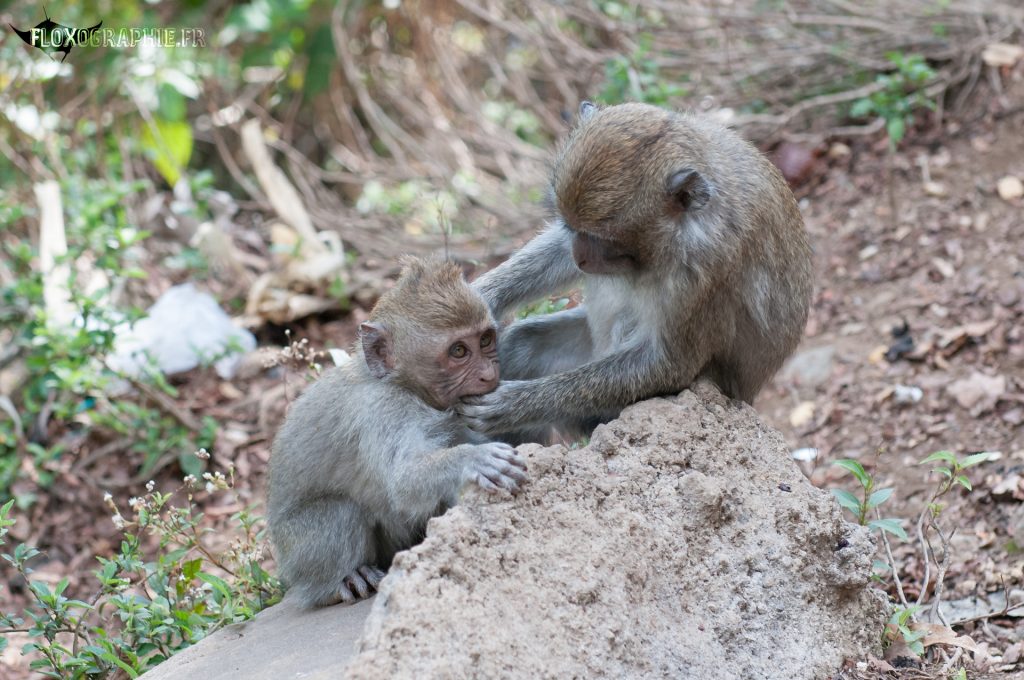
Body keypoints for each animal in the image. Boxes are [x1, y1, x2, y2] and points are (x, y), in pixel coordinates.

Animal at [267, 256, 528, 608]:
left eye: (485, 339)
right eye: (459, 351)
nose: (489, 375)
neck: (402, 385)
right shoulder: (384, 411)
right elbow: (402, 482)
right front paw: (473, 459)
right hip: (298, 553)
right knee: (341, 512)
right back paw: (342, 581)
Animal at [457, 101, 813, 443]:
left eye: (605, 239)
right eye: (572, 227)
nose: (581, 258)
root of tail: (745, 398)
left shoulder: (710, 266)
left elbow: (669, 365)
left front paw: (515, 404)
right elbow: (558, 250)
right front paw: (482, 294)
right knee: (523, 344)